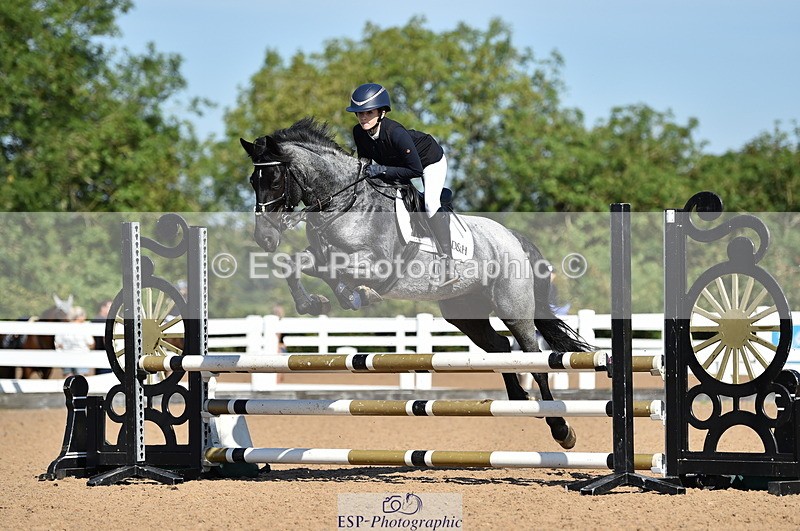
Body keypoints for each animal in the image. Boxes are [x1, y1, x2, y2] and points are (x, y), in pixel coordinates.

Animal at [240, 118, 592, 449]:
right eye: (252, 181)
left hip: (513, 308)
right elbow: (297, 265)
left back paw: (561, 429)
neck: (345, 203)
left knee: (534, 359)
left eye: (274, 179)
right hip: (465, 311)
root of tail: (513, 238)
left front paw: (357, 295)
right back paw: (520, 400)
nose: (265, 238)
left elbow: (336, 269)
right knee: (501, 348)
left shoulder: (378, 265)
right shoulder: (320, 255)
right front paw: (319, 302)